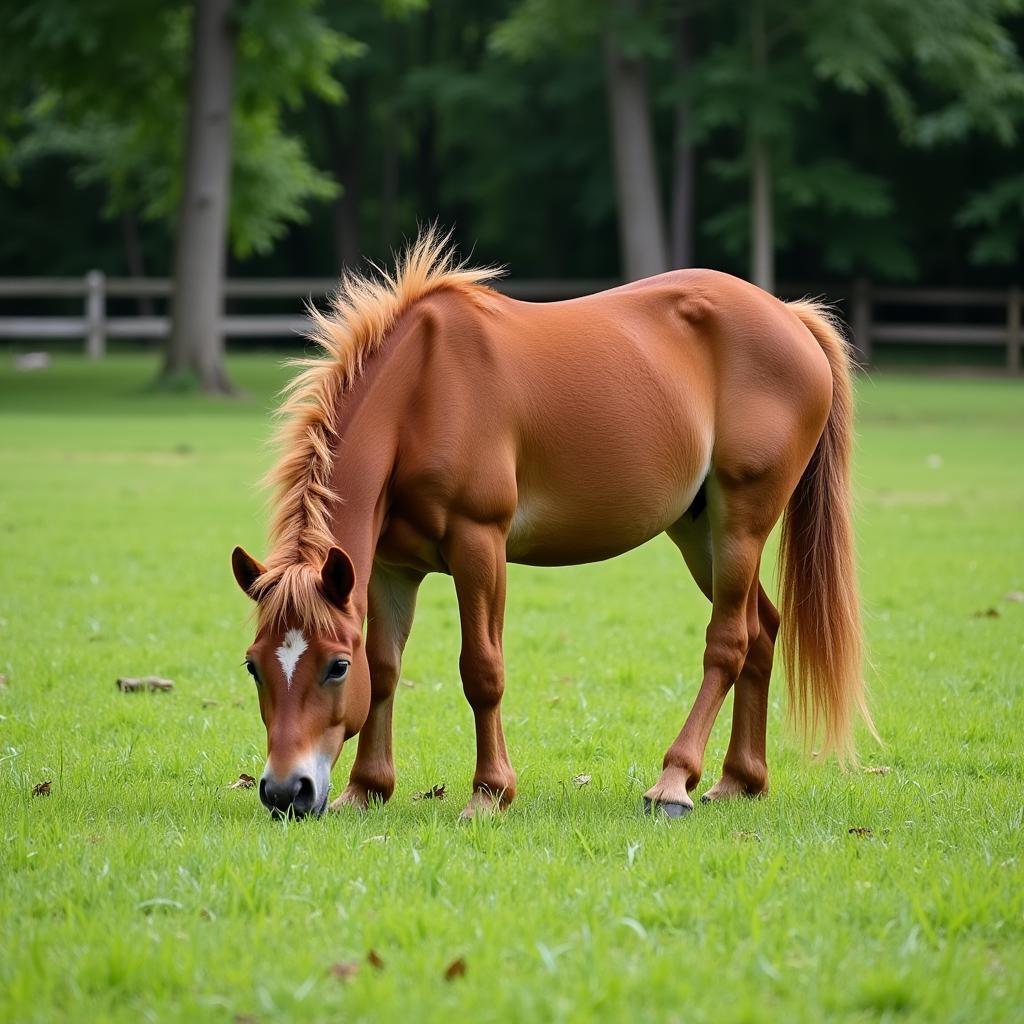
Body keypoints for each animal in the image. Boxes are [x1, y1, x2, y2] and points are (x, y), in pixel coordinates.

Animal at [230, 228, 872, 819]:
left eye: (336, 667)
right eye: (254, 665)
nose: (286, 792)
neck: (421, 391)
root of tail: (788, 317)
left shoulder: (479, 545)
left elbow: (481, 669)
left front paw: (489, 793)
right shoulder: (390, 568)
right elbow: (387, 670)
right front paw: (367, 789)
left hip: (741, 525)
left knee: (730, 641)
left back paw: (673, 782)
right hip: (699, 533)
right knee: (762, 630)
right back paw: (739, 779)